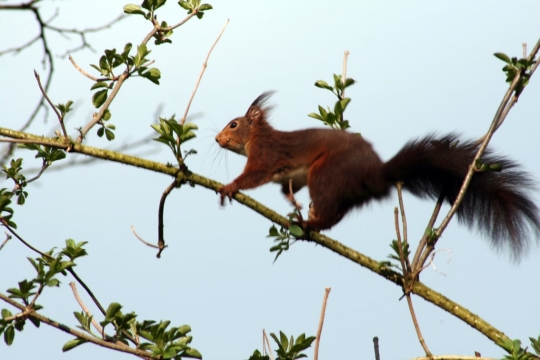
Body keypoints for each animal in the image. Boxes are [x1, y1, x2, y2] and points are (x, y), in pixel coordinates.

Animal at [216, 93, 540, 256]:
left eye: (233, 124)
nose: (218, 139)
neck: (256, 137)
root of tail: (376, 173)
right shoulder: (288, 174)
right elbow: (287, 186)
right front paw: (292, 201)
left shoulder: (266, 156)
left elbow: (254, 175)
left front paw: (229, 187)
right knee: (338, 213)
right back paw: (310, 218)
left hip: (326, 172)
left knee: (330, 210)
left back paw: (311, 223)